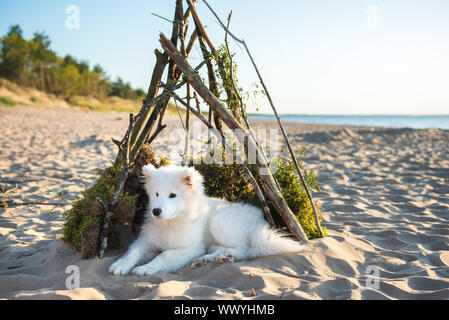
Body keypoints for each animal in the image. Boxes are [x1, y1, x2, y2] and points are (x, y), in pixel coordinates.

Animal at [110, 164, 302, 276]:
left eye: (172, 195)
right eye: (156, 194)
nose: (156, 211)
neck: (173, 221)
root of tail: (259, 217)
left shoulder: (189, 248)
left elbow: (164, 256)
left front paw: (146, 268)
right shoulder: (146, 241)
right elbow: (132, 252)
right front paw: (120, 265)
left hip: (219, 222)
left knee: (247, 248)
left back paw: (229, 256)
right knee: (222, 249)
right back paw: (207, 259)